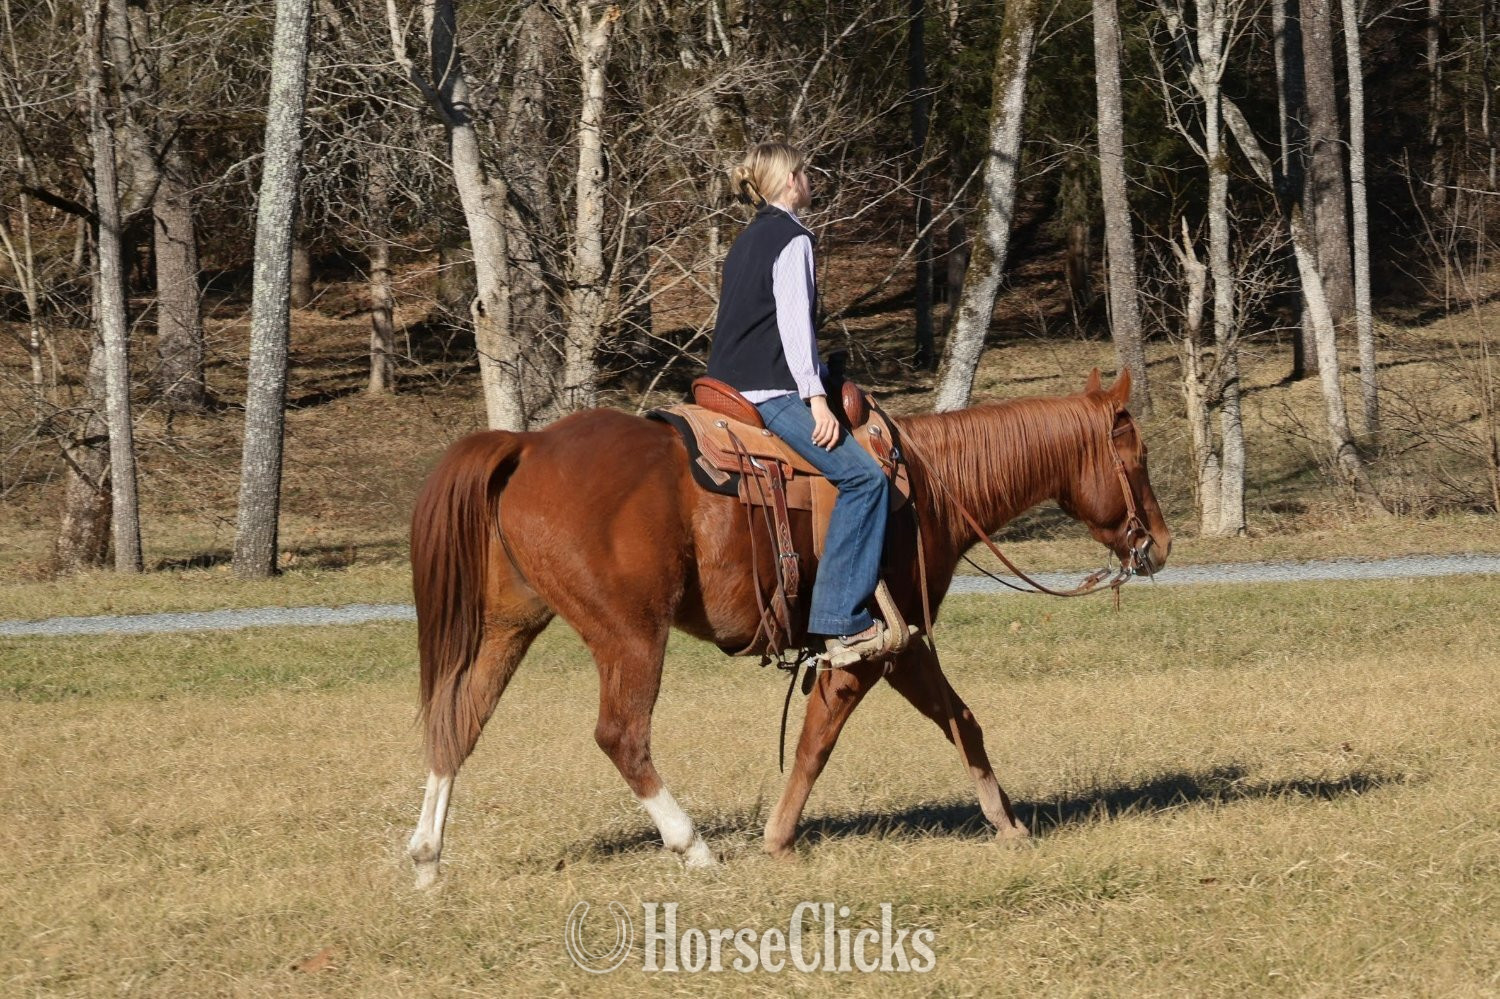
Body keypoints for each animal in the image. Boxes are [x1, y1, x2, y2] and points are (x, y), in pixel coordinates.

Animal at [405, 368, 1171, 887]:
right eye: (1138, 460)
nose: (1160, 544)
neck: (926, 487)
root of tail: (527, 445)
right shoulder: (868, 653)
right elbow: (815, 743)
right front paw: (777, 838)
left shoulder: (907, 648)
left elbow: (963, 722)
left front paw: (1006, 823)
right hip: (631, 634)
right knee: (621, 735)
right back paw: (694, 847)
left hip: (510, 626)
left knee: (458, 722)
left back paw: (427, 857)